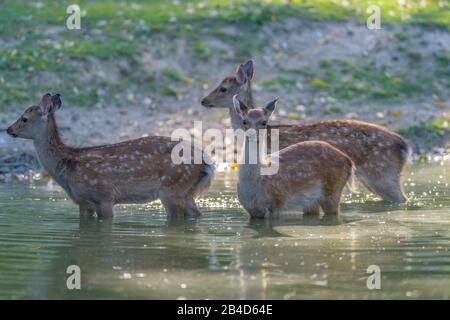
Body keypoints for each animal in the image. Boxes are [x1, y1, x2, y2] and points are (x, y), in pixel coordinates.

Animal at [6, 92, 214, 218]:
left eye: (24, 118)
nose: (8, 129)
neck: (67, 167)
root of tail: (207, 163)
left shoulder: (104, 195)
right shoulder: (82, 202)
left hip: (172, 187)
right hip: (186, 191)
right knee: (196, 214)